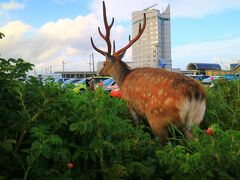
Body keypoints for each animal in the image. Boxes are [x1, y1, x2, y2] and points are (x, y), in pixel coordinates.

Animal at [91, 1, 205, 142]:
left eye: (105, 63)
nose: (99, 72)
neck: (123, 80)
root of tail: (195, 95)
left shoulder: (129, 103)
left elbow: (136, 124)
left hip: (157, 119)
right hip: (195, 123)